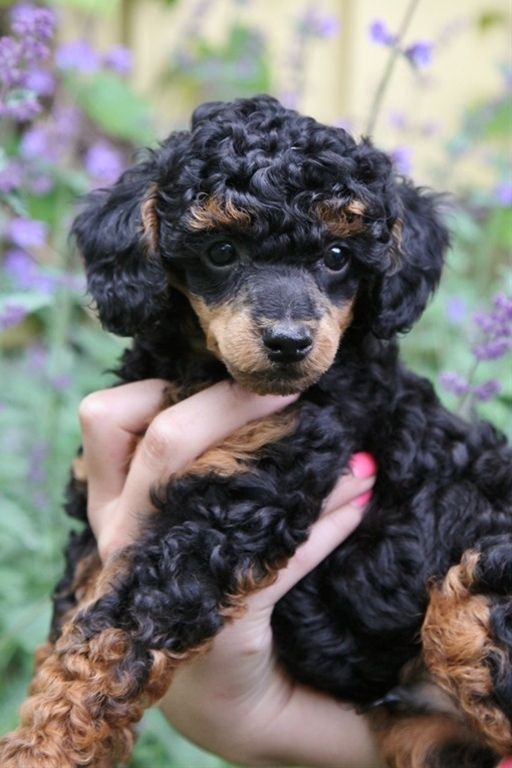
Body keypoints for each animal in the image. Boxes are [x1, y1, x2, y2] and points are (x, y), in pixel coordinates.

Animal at [1, 96, 512, 768]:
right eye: (221, 251)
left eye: (337, 257)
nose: (289, 343)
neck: (203, 376)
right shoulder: (101, 512)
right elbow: (80, 610)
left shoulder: (237, 501)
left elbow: (114, 631)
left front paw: (41, 746)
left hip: (478, 591)